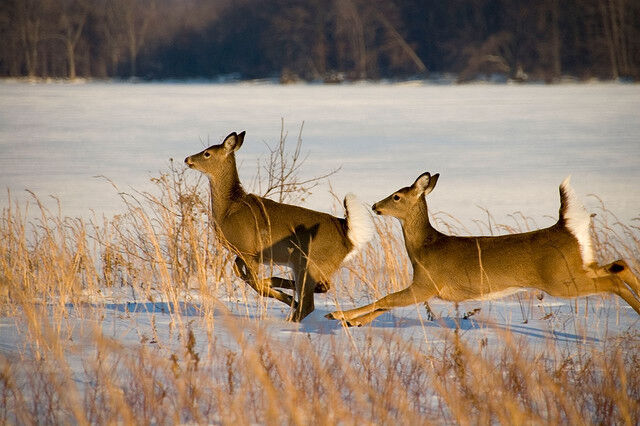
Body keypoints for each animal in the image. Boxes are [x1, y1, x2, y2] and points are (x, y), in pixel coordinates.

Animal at [185, 131, 373, 321]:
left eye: (207, 153)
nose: (187, 159)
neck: (229, 209)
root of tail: (347, 234)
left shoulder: (248, 250)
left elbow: (253, 282)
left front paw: (286, 298)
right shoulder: (244, 252)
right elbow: (240, 273)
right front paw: (282, 293)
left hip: (308, 263)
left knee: (308, 304)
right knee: (322, 288)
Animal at [327, 172, 640, 326]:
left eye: (396, 196)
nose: (375, 206)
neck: (424, 250)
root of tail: (564, 226)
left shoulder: (427, 283)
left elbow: (386, 299)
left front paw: (339, 316)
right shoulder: (424, 287)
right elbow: (384, 304)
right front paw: (351, 323)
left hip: (561, 280)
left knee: (613, 279)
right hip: (578, 267)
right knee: (620, 264)